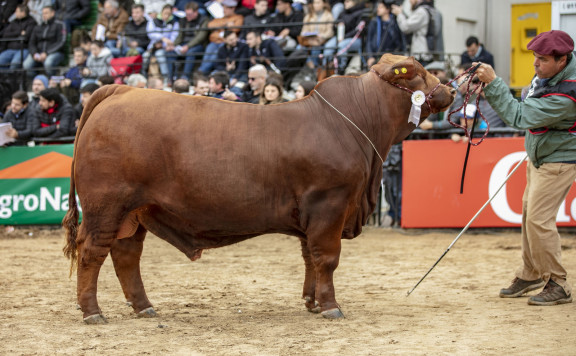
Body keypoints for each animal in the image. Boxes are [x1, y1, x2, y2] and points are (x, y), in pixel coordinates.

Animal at [63, 54, 456, 324]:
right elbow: (326, 258)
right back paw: (92, 312)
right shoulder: (330, 204)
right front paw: (331, 307)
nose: (452, 89)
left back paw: (144, 307)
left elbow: (310, 258)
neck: (354, 123)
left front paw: (312, 302)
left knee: (126, 255)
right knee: (91, 253)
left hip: (135, 211)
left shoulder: (313, 214)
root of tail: (121, 90)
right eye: (417, 71)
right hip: (105, 207)